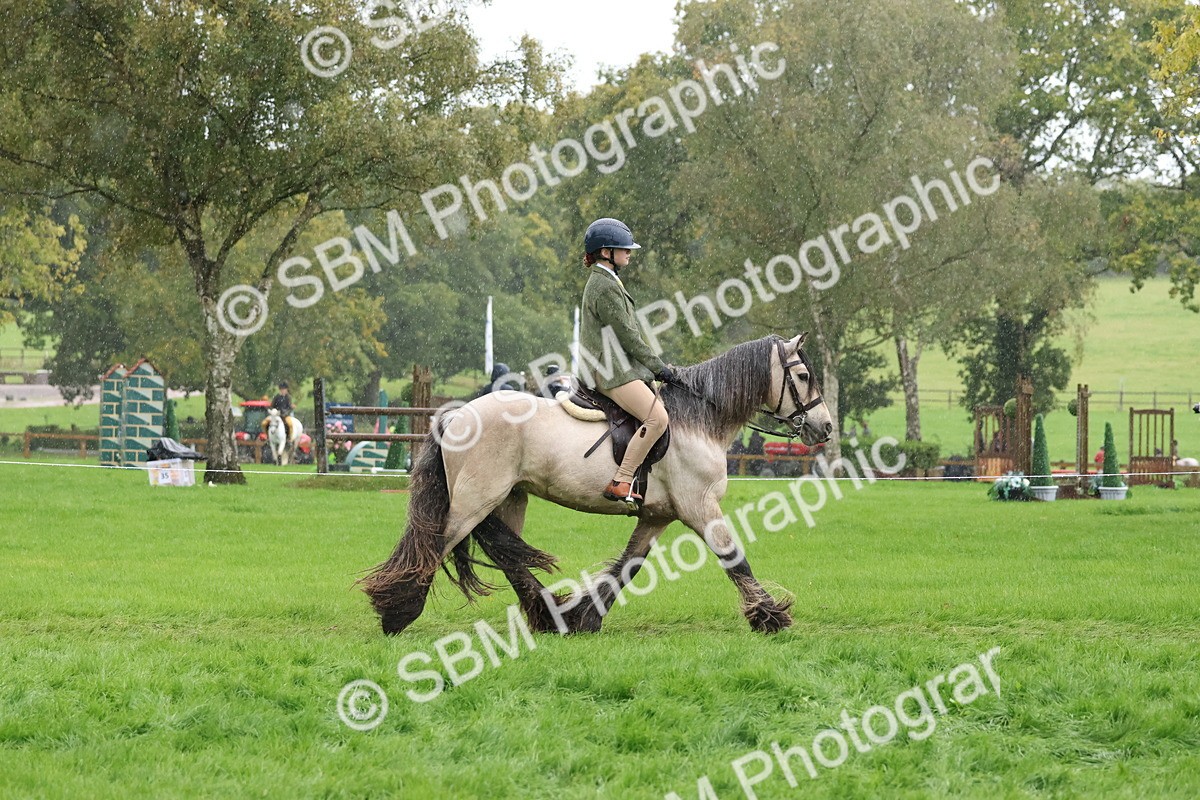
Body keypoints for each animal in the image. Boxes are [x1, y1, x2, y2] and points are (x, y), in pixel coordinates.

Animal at [360, 333, 834, 635]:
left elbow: (628, 565)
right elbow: (734, 558)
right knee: (438, 544)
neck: (700, 419)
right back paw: (397, 612)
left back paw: (548, 617)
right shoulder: (699, 506)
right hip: (475, 500)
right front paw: (770, 617)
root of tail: (458, 413)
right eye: (803, 377)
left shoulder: (658, 515)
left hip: (510, 498)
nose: (826, 428)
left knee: (508, 557)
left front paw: (587, 618)